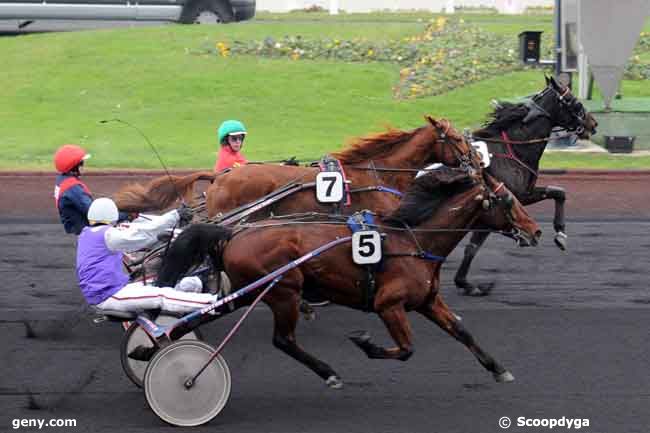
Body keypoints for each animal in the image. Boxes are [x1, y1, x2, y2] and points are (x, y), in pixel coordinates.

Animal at [158, 167, 540, 386]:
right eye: (508, 200)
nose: (535, 231)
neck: (414, 240)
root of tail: (232, 232)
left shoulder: (428, 300)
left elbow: (462, 331)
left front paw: (498, 368)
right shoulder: (389, 304)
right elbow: (406, 349)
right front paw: (365, 342)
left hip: (249, 292)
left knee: (205, 315)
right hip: (282, 290)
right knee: (283, 340)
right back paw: (328, 372)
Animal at [450, 75, 596, 296]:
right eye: (574, 101)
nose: (593, 123)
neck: (512, 150)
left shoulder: (523, 195)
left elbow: (558, 192)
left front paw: (560, 234)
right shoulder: (494, 207)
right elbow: (472, 247)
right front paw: (466, 283)